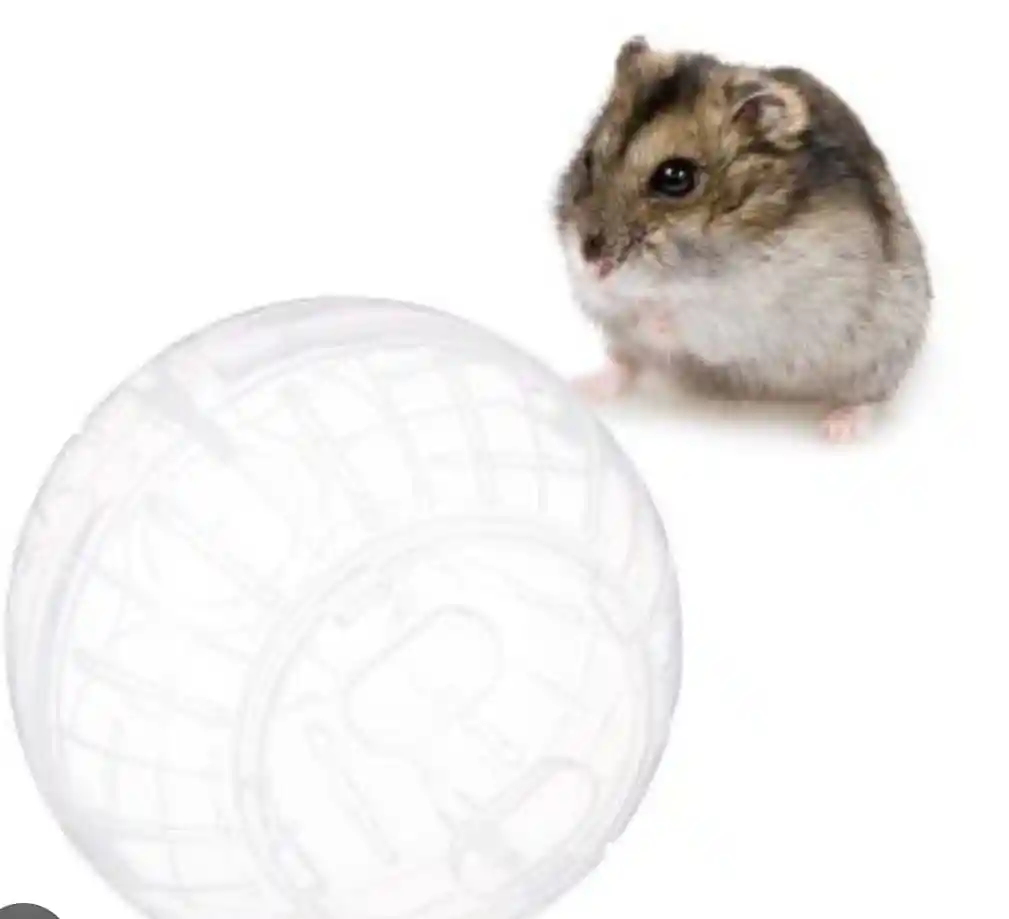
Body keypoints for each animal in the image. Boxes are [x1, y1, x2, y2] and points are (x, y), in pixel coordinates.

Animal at [554, 37, 931, 441]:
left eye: (676, 177)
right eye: (588, 159)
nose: (593, 263)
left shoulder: (755, 308)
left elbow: (685, 319)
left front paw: (651, 317)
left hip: (882, 355)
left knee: (871, 398)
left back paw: (839, 429)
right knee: (625, 366)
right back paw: (581, 389)